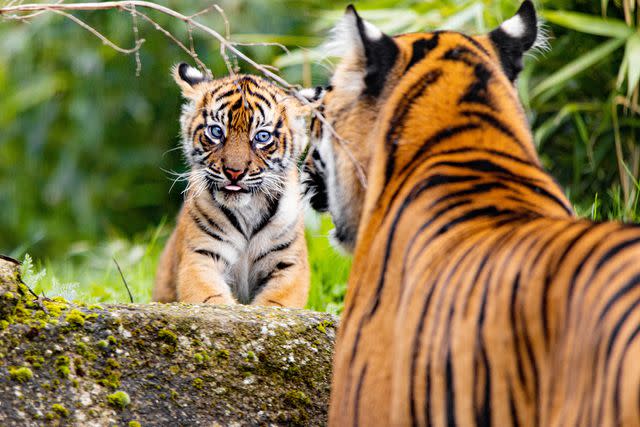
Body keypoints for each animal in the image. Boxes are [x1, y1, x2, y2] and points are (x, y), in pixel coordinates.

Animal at [158, 65, 312, 308]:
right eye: (216, 131)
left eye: (262, 136)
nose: (234, 172)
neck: (248, 210)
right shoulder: (200, 256)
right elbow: (210, 298)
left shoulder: (289, 263)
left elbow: (275, 304)